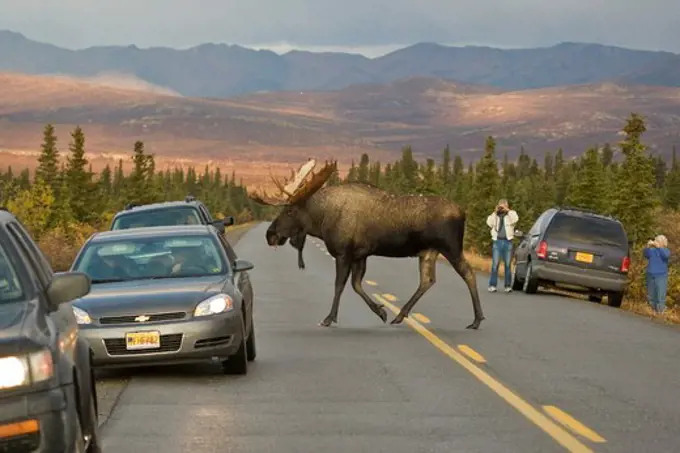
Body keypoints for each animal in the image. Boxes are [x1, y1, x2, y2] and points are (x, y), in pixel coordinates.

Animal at [248, 159, 484, 328]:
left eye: (289, 210)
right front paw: (380, 311)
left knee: (468, 273)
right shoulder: (360, 254)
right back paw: (400, 315)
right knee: (427, 280)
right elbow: (356, 285)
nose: (270, 235)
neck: (321, 221)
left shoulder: (344, 253)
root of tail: (463, 212)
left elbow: (340, 285)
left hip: (451, 247)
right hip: (428, 251)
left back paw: (477, 319)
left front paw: (329, 318)